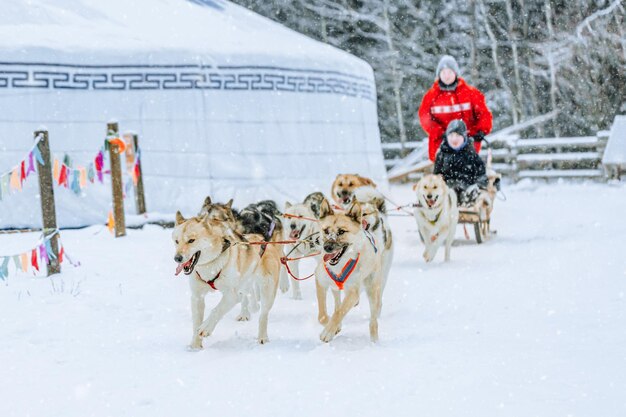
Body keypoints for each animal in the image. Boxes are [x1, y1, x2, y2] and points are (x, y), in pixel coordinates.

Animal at [171, 210, 278, 346]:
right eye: (176, 241)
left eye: (191, 240)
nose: (177, 258)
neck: (211, 264)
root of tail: (263, 240)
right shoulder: (197, 297)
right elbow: (196, 323)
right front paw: (195, 345)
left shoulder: (232, 295)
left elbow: (216, 310)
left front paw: (206, 328)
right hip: (245, 285)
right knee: (248, 299)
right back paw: (245, 313)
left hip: (267, 290)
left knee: (263, 314)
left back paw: (262, 337)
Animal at [314, 198, 382, 342]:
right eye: (326, 230)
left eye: (341, 231)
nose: (327, 247)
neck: (339, 265)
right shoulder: (321, 282)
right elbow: (322, 315)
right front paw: (333, 326)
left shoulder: (352, 292)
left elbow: (339, 312)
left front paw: (328, 331)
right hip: (335, 288)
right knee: (337, 303)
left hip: (372, 289)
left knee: (373, 321)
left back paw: (374, 341)